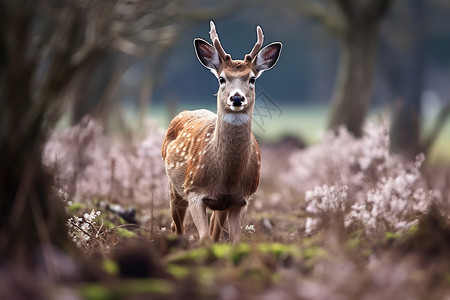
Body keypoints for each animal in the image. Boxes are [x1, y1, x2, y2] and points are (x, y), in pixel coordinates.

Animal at [162, 21, 282, 243]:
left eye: (252, 79)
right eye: (221, 79)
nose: (237, 98)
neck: (226, 177)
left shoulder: (242, 199)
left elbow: (233, 240)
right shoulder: (194, 191)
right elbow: (204, 238)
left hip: (220, 205)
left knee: (213, 229)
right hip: (174, 186)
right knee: (177, 225)